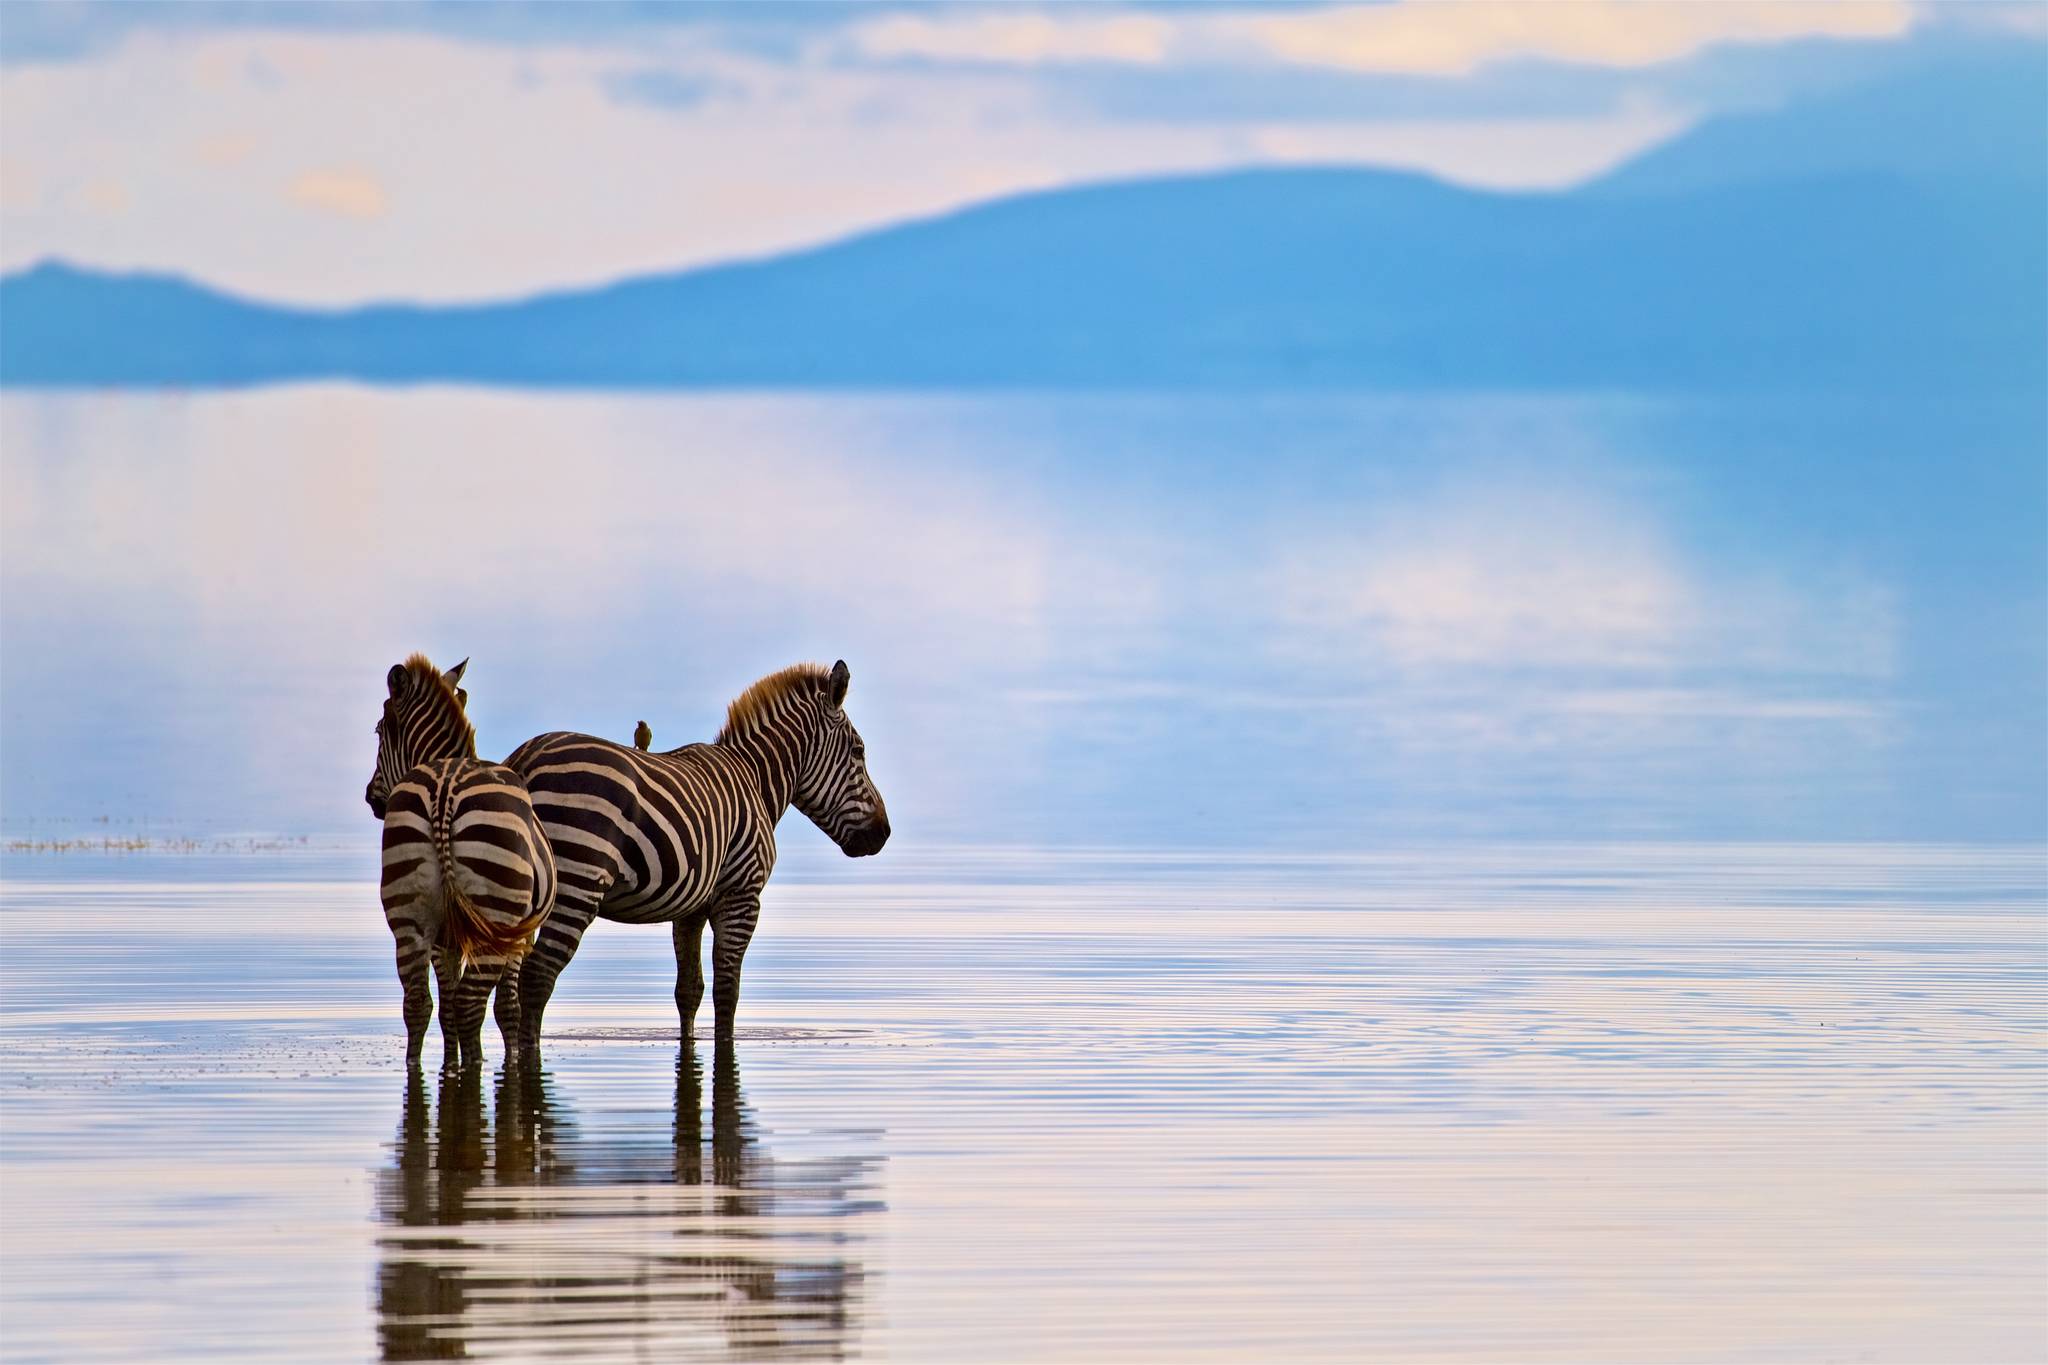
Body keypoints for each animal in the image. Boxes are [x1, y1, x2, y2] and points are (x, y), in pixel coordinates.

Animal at [366, 654, 561, 1072]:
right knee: (471, 1005)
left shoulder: (444, 940)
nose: (371, 798)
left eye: (378, 731)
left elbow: (446, 1008)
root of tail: (443, 792)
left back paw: (419, 1065)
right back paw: (476, 1064)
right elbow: (506, 1008)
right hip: (495, 918)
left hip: (408, 920)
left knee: (418, 1005)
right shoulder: (520, 936)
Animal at [505, 654, 888, 1055]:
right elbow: (727, 991)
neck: (754, 778)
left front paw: (688, 1041)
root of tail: (525, 759)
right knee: (537, 977)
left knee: (506, 991)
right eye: (859, 752)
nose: (884, 833)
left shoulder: (691, 909)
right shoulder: (741, 896)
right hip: (577, 881)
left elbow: (689, 990)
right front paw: (725, 1042)